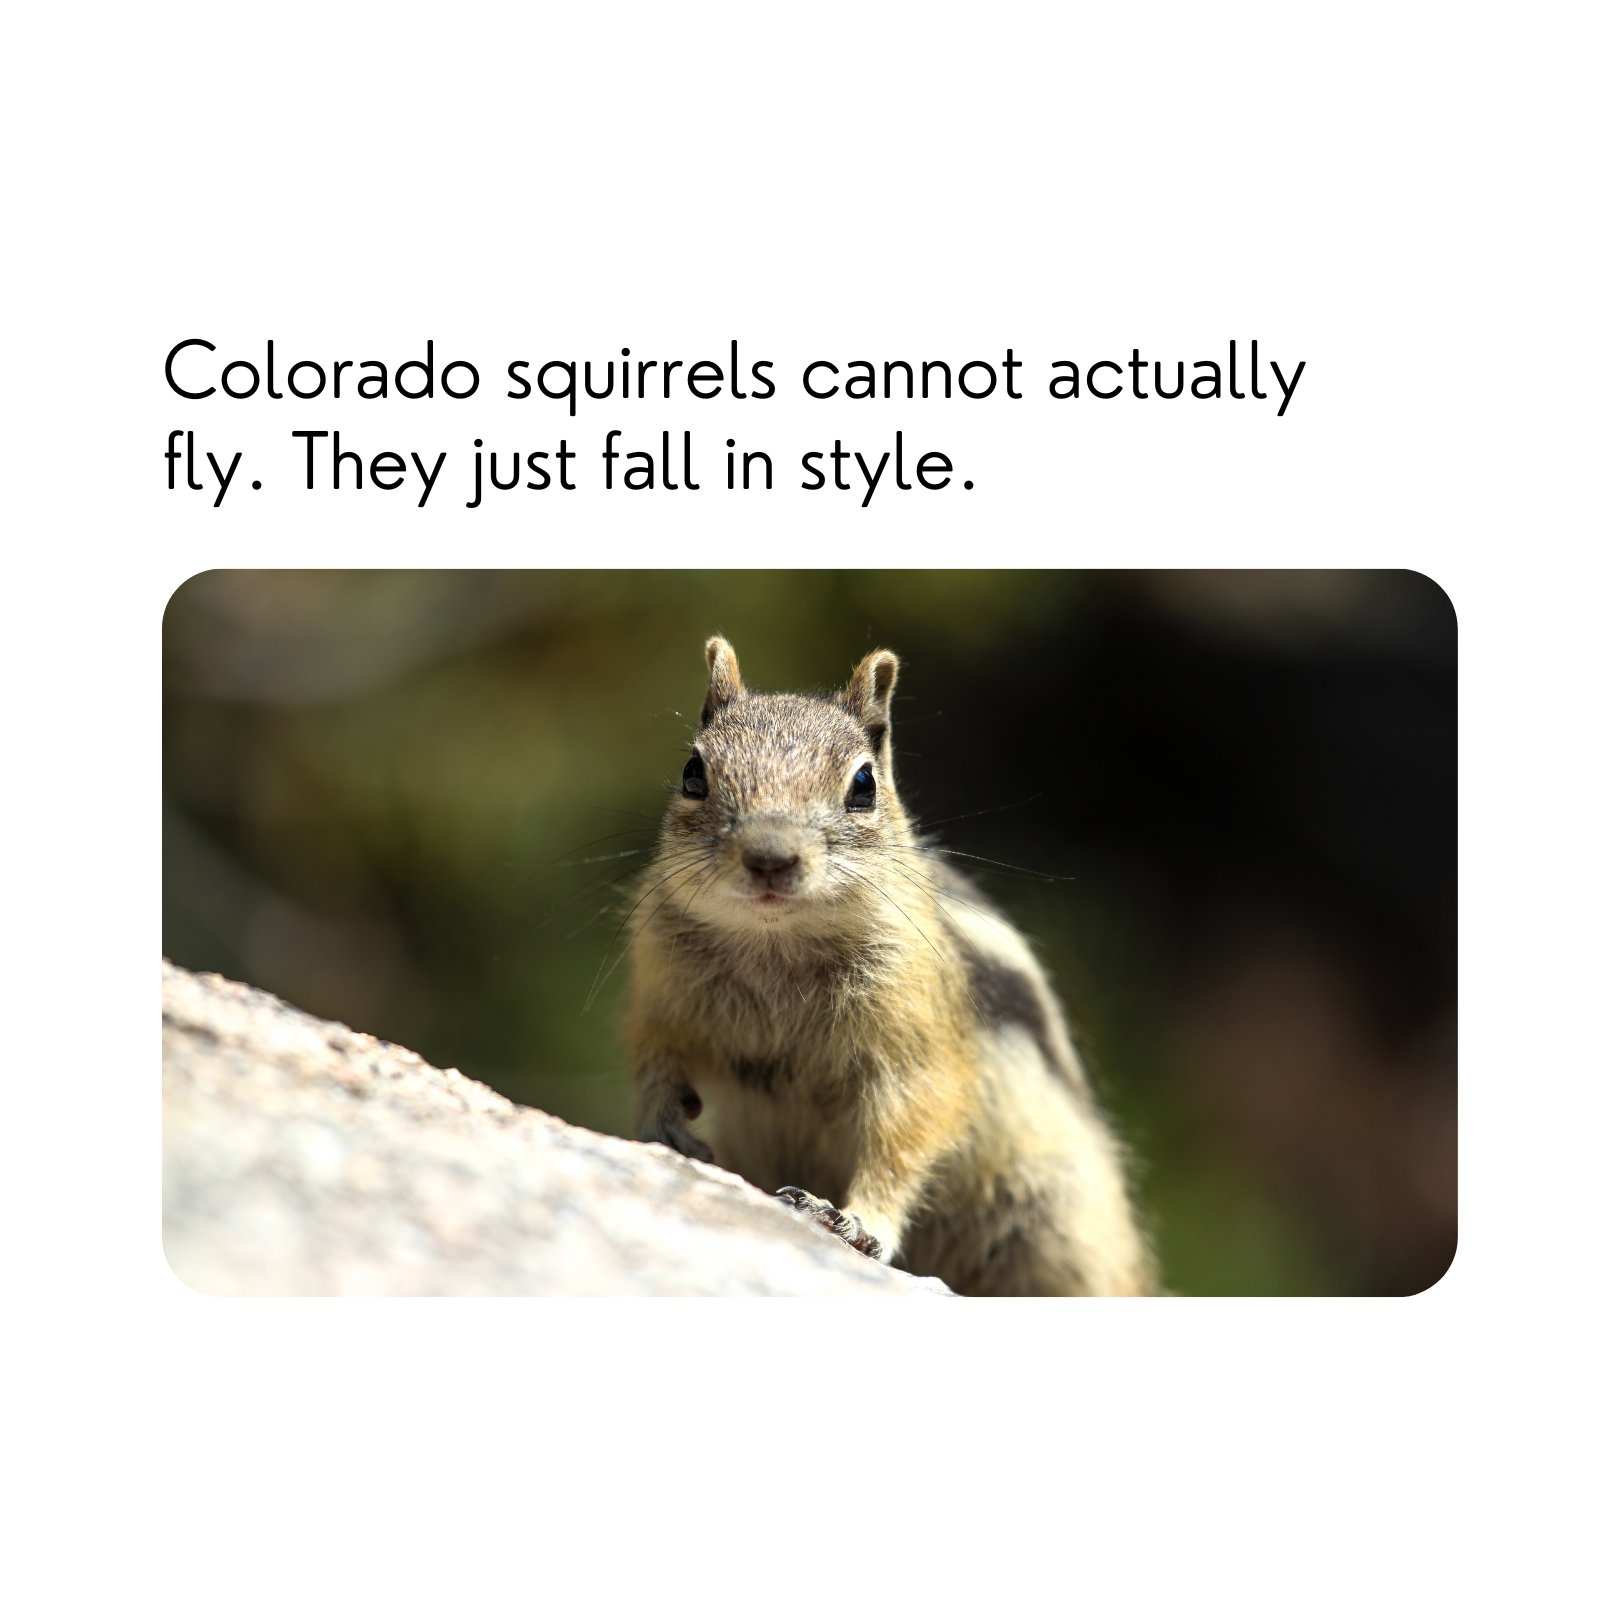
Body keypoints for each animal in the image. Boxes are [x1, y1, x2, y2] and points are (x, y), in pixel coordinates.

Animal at [625, 636, 1154, 1296]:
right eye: (693, 773)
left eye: (863, 786)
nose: (770, 857)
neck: (776, 944)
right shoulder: (658, 990)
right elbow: (653, 1056)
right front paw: (664, 1120)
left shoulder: (916, 1038)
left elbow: (906, 1128)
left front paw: (856, 1220)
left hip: (1058, 1216)